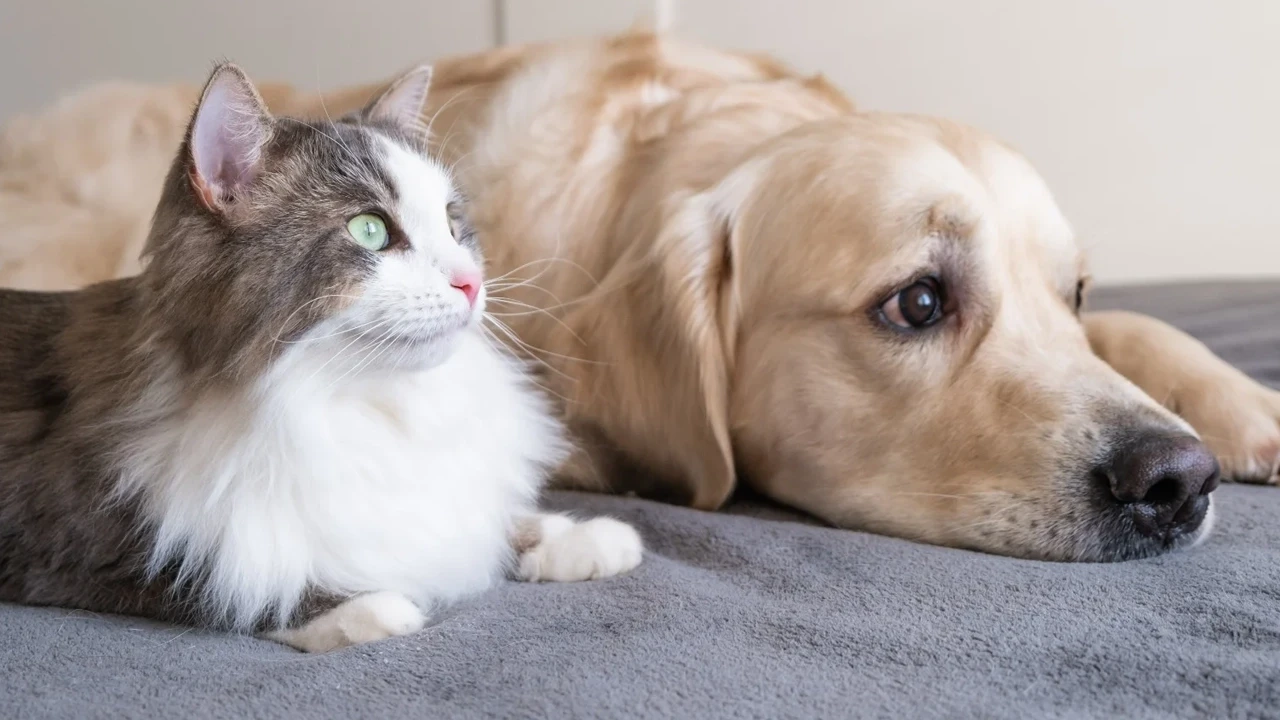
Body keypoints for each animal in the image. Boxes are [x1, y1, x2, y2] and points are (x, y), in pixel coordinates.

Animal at [0, 61, 640, 650]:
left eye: (453, 225)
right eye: (370, 231)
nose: (471, 283)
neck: (360, 402)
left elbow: (484, 521)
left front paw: (580, 539)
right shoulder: (78, 539)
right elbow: (230, 582)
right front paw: (367, 608)